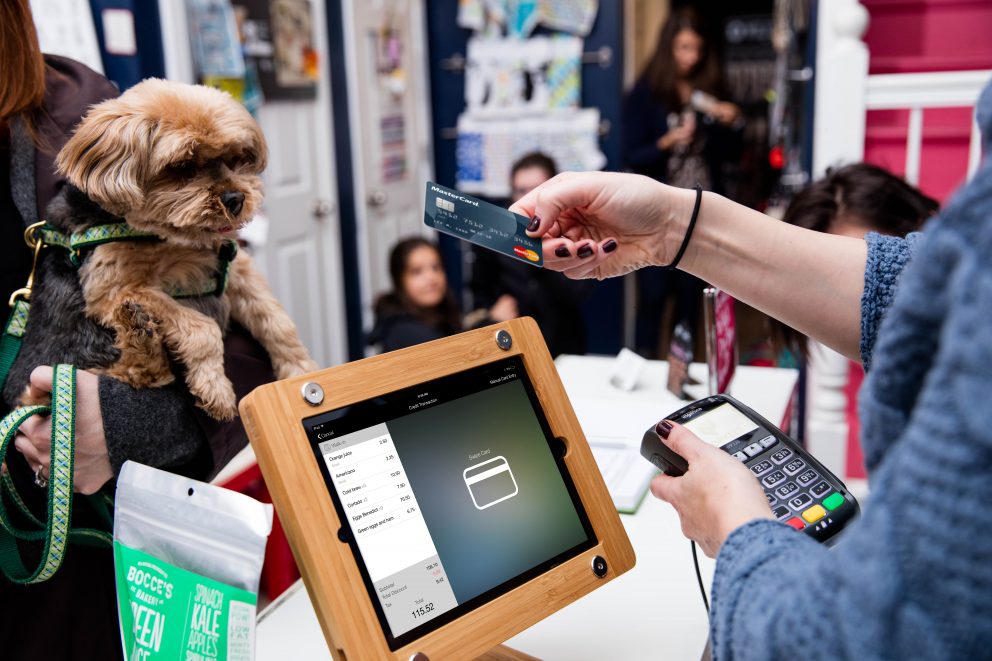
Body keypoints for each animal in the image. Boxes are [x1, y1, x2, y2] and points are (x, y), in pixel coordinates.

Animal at [49, 77, 318, 418]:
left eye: (235, 159)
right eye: (182, 166)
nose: (235, 199)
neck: (168, 238)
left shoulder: (234, 268)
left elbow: (277, 320)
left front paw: (301, 371)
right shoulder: (113, 288)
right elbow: (203, 328)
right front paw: (216, 389)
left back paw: (141, 333)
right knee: (137, 373)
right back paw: (139, 331)